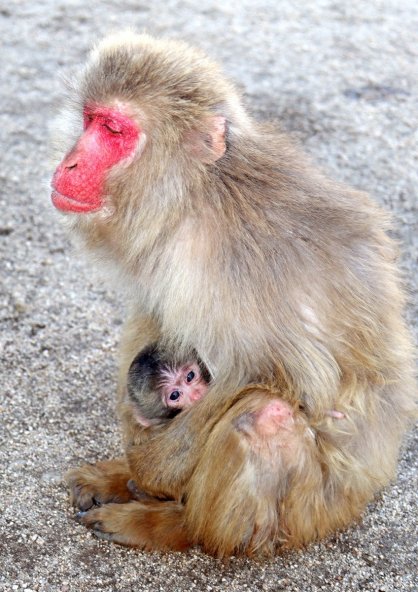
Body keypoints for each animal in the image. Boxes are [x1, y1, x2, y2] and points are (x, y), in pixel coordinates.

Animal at [53, 34, 418, 556]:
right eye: (89, 119)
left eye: (115, 130)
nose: (70, 162)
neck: (195, 194)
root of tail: (368, 488)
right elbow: (157, 321)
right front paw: (134, 456)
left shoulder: (239, 261)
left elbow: (265, 370)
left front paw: (149, 473)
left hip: (312, 512)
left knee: (263, 414)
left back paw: (177, 525)